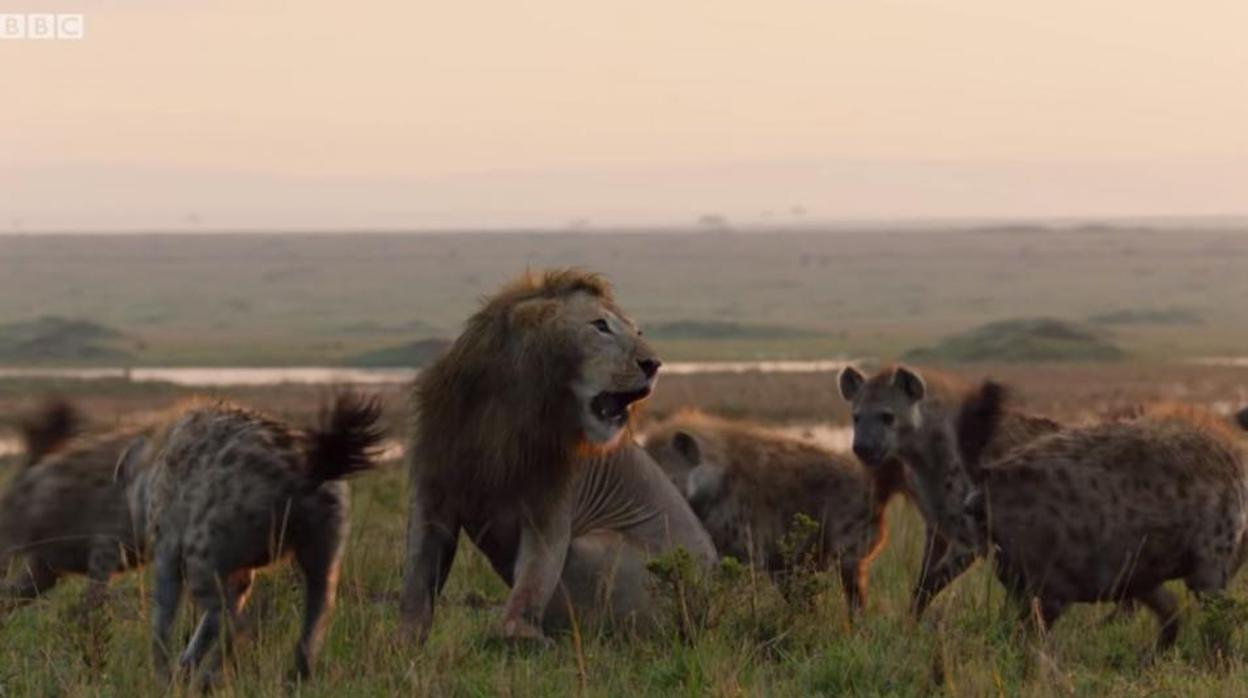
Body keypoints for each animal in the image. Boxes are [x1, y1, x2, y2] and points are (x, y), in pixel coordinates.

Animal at [399, 268, 713, 644]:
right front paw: (403, 642)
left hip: (597, 547)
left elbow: (534, 578)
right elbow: (417, 579)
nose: (653, 364)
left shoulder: (550, 508)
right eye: (600, 326)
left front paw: (520, 636)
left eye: (638, 332)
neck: (503, 414)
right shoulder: (432, 493)